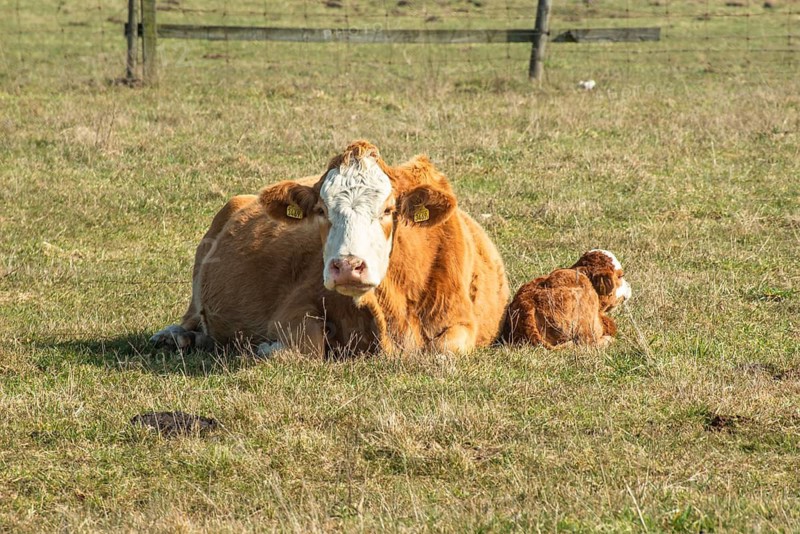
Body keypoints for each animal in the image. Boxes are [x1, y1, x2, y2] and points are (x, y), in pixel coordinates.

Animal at [151, 141, 510, 358]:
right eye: (322, 210)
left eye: (388, 210)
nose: (348, 265)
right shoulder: (293, 307)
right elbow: (309, 345)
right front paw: (262, 347)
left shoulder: (461, 322)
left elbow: (445, 350)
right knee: (192, 316)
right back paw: (175, 336)